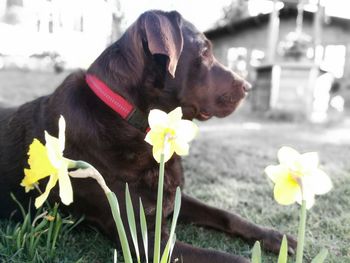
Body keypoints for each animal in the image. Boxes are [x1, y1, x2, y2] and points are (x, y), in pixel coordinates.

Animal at [0, 9, 296, 262]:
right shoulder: (144, 239)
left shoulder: (171, 195)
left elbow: (226, 214)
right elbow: (225, 257)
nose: (248, 87)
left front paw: (275, 237)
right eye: (204, 52)